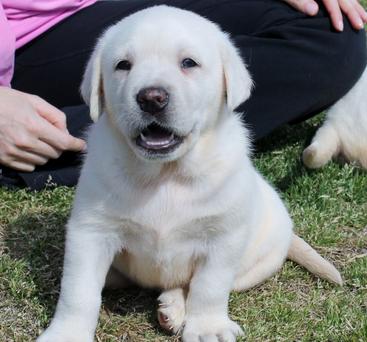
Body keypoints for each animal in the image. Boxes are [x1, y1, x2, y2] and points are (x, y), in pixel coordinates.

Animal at [36, 6, 342, 342]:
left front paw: (208, 327)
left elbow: (209, 286)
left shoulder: (223, 236)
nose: (151, 98)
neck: (165, 174)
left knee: (190, 285)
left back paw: (174, 307)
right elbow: (79, 290)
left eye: (188, 63)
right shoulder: (91, 231)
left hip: (257, 263)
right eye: (123, 65)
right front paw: (67, 332)